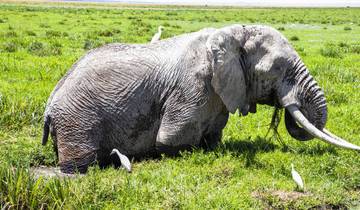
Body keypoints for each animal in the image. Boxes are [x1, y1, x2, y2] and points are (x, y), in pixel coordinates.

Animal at [42, 24, 360, 174]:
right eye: (278, 69)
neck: (232, 33)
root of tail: (50, 101)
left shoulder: (219, 94)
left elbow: (214, 137)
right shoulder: (191, 88)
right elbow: (171, 141)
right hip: (78, 117)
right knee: (79, 162)